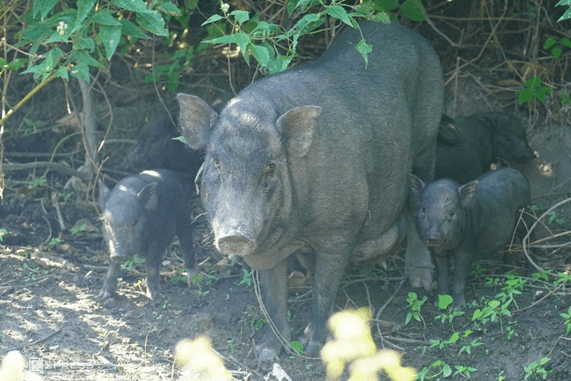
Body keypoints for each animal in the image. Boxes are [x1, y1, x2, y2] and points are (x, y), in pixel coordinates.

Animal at [98, 169, 197, 300]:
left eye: (135, 221)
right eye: (106, 222)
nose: (119, 254)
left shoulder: (156, 238)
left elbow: (151, 264)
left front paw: (152, 296)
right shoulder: (110, 244)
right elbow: (113, 266)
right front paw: (103, 296)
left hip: (184, 216)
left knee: (187, 245)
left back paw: (193, 282)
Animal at [177, 20, 444, 360]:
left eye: (270, 166)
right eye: (216, 162)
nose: (234, 235)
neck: (295, 228)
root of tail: (411, 34)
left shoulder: (341, 227)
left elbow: (325, 288)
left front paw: (313, 347)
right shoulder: (268, 247)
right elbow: (273, 295)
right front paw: (266, 352)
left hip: (427, 137)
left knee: (417, 201)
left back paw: (421, 282)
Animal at [412, 168, 532, 310]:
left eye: (452, 213)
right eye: (423, 209)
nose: (433, 236)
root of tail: (519, 173)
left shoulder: (467, 243)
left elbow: (458, 275)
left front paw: (456, 308)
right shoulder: (438, 251)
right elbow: (442, 275)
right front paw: (439, 305)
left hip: (526, 212)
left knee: (530, 237)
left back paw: (531, 276)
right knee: (510, 241)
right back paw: (507, 273)